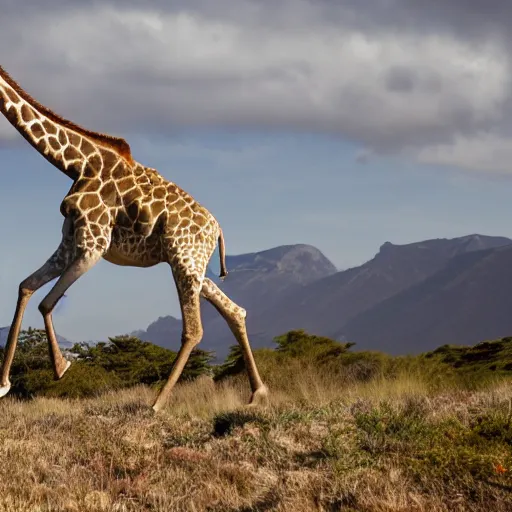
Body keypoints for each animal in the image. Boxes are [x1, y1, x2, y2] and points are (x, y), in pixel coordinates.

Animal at [0, 67, 268, 412]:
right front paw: (4, 385)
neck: (77, 163)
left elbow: (46, 302)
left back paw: (157, 404)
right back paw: (257, 393)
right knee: (234, 311)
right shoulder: (70, 243)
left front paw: (61, 367)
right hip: (194, 267)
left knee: (194, 329)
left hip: (182, 261)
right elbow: (26, 287)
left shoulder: (94, 245)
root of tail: (217, 229)